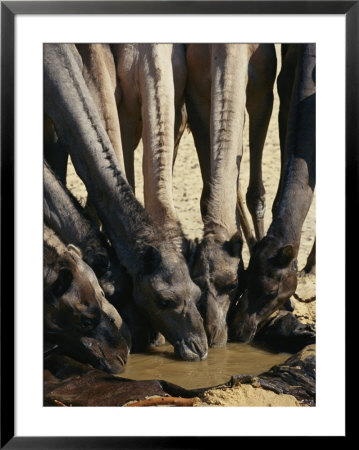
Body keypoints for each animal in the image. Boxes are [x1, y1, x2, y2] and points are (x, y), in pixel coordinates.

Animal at [184, 44, 278, 346]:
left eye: (234, 284)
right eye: (197, 283)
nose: (214, 336)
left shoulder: (263, 92)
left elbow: (256, 193)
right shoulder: (196, 96)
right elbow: (207, 193)